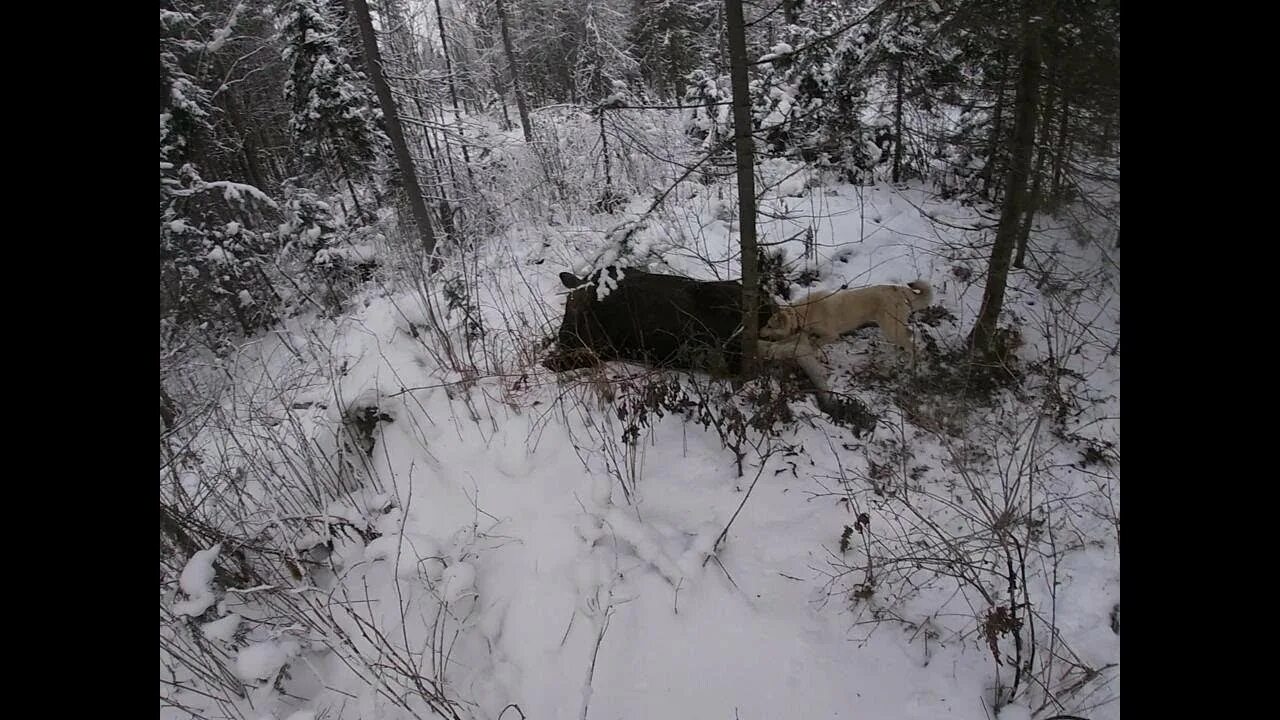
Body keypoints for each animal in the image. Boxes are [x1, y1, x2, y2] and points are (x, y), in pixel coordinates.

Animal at [757, 279, 931, 353]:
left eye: (769, 325)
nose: (758, 332)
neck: (802, 314)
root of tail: (898, 289)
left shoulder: (831, 335)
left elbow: (816, 343)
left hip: (890, 329)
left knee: (911, 345)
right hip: (894, 327)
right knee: (909, 334)